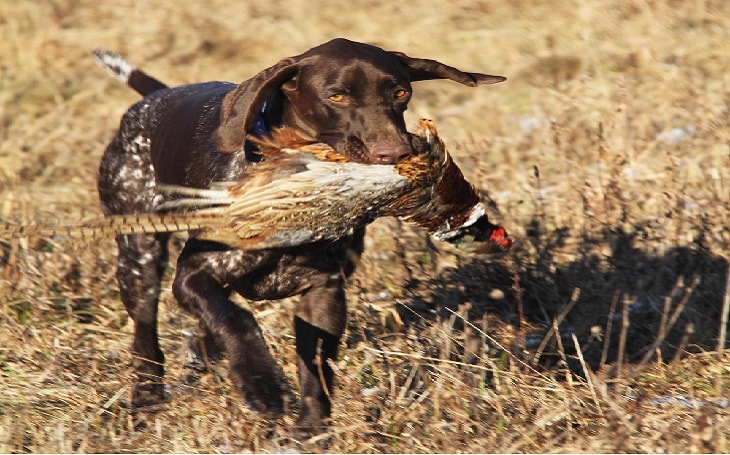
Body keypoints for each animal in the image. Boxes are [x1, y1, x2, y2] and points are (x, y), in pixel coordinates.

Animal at [95, 36, 506, 432]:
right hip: (139, 258)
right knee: (146, 335)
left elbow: (315, 369)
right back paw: (146, 397)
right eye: (336, 96)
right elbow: (236, 320)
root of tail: (157, 97)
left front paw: (311, 428)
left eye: (400, 92)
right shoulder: (193, 274)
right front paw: (261, 381)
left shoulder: (323, 292)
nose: (394, 153)